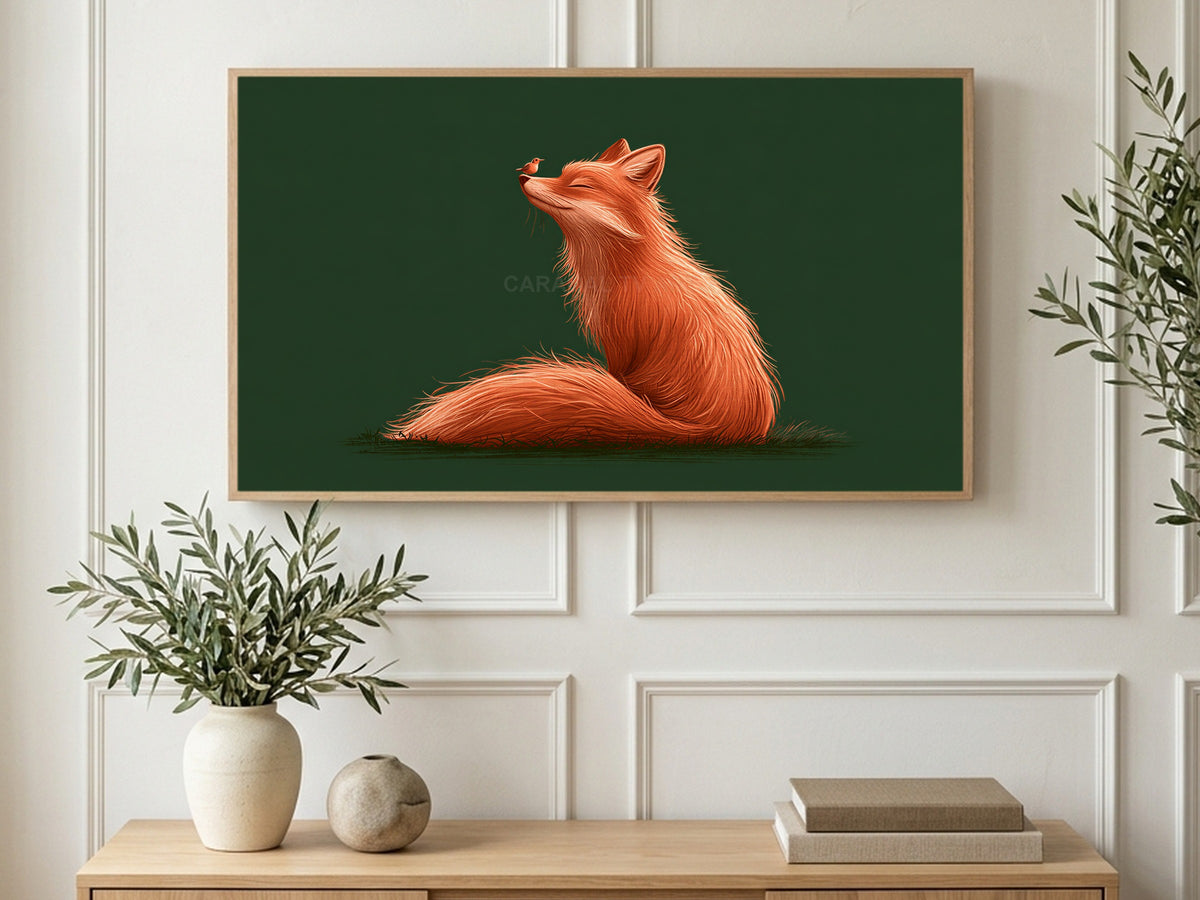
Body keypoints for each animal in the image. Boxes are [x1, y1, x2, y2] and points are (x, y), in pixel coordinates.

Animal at [384, 138, 780, 445]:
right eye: (560, 175)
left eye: (580, 185)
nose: (524, 176)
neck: (627, 271)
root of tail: (723, 428)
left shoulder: (621, 349)